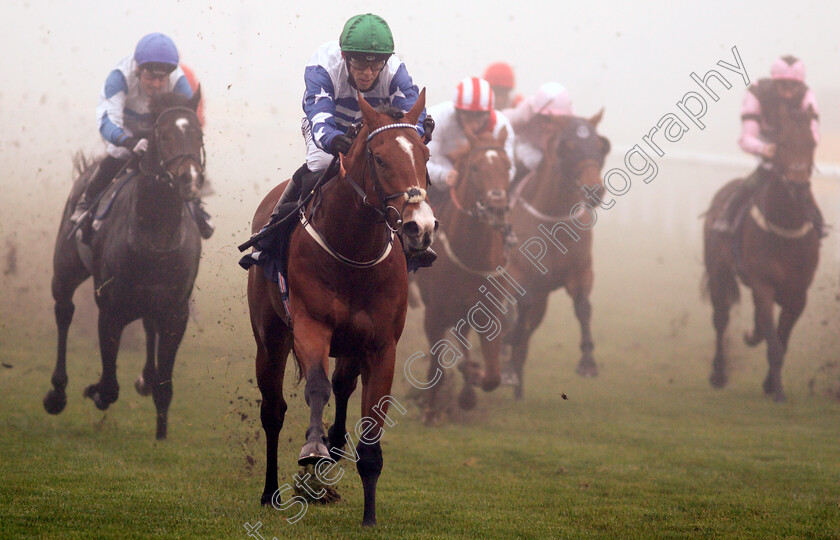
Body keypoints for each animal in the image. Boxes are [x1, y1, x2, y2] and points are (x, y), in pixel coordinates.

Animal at [44, 90, 205, 440]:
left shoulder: (176, 312)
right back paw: (57, 392)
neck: (156, 234)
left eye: (198, 135)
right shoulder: (110, 308)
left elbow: (165, 386)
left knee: (147, 327)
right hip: (66, 267)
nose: (189, 179)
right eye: (163, 135)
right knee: (64, 310)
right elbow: (109, 384)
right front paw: (94, 391)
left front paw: (161, 435)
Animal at [246, 90, 436, 524]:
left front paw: (369, 515)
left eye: (424, 155)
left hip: (350, 346)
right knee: (273, 411)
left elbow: (371, 426)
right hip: (270, 340)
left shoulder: (381, 345)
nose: (420, 227)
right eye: (379, 158)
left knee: (343, 384)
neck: (354, 249)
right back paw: (270, 491)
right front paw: (312, 447)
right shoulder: (311, 325)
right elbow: (316, 386)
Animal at [414, 125, 512, 422]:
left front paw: (473, 379)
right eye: (476, 167)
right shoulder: (434, 312)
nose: (497, 209)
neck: (469, 252)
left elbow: (492, 376)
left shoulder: (489, 311)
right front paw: (431, 410)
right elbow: (436, 365)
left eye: (508, 166)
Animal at [502, 109, 608, 398]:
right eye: (568, 146)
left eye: (599, 145)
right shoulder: (516, 272)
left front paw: (588, 362)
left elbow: (583, 307)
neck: (553, 221)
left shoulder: (581, 272)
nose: (595, 190)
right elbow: (522, 307)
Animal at [704, 105, 816, 402]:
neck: (785, 228)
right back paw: (718, 373)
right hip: (718, 270)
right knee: (720, 319)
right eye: (783, 144)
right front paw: (777, 392)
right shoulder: (763, 284)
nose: (798, 186)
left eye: (812, 144)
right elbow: (774, 343)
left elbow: (782, 338)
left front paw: (769, 384)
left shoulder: (798, 292)